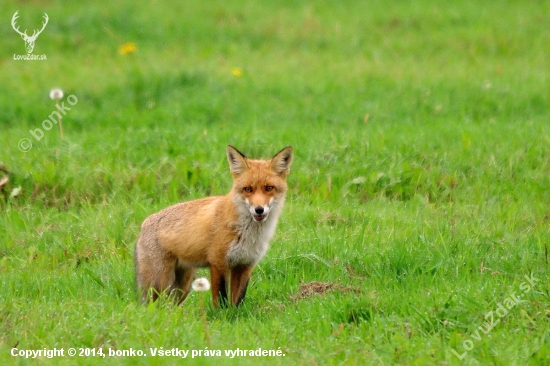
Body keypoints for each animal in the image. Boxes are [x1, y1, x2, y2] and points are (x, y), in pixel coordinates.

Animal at [135, 144, 294, 308]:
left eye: (269, 188)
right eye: (248, 189)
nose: (259, 209)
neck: (248, 234)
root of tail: (144, 223)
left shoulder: (245, 264)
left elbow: (238, 300)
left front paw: (234, 313)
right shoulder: (218, 262)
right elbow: (221, 299)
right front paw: (221, 314)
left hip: (183, 285)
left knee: (172, 306)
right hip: (160, 283)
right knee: (152, 306)